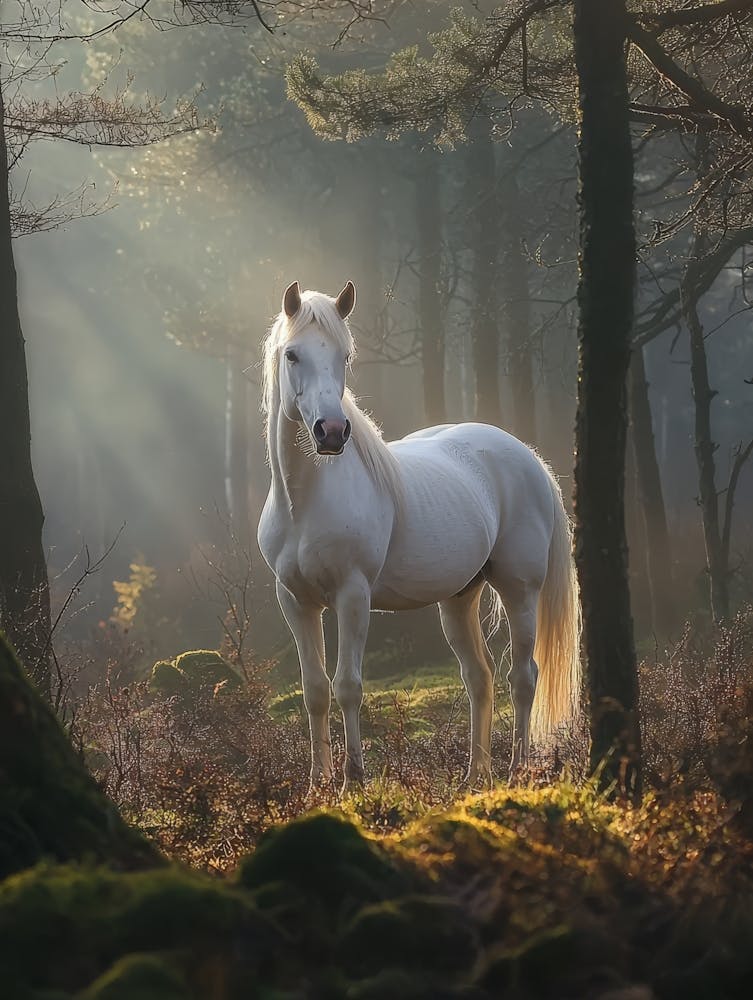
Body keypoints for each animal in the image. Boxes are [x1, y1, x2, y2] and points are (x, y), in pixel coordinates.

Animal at [257, 280, 581, 793]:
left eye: (345, 355)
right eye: (292, 354)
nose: (331, 432)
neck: (303, 502)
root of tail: (527, 456)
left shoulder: (353, 596)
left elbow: (348, 686)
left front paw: (353, 781)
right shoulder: (295, 601)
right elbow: (314, 691)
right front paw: (317, 786)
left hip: (520, 590)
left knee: (523, 677)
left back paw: (516, 771)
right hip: (459, 599)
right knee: (479, 678)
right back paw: (475, 775)